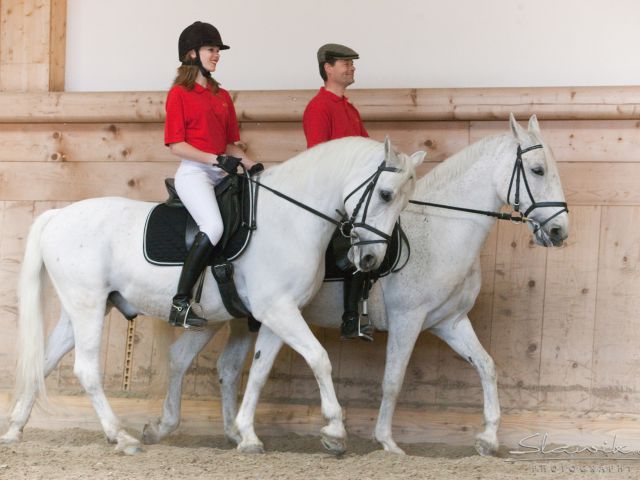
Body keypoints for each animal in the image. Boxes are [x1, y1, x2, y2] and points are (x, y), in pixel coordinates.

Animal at [2, 137, 428, 456]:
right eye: (385, 194)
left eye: (405, 201)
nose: (370, 260)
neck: (290, 219)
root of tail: (57, 216)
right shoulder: (278, 309)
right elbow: (319, 358)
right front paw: (335, 431)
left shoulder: (277, 312)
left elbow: (259, 370)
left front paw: (248, 435)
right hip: (88, 306)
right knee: (86, 370)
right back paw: (120, 436)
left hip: (81, 309)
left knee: (44, 362)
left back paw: (15, 430)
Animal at [141, 113, 568, 454]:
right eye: (538, 170)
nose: (560, 232)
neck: (438, 230)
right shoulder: (408, 319)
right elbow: (393, 379)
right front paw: (387, 442)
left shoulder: (449, 321)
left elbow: (487, 366)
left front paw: (488, 438)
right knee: (189, 360)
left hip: (229, 317)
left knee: (205, 364)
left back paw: (201, 430)